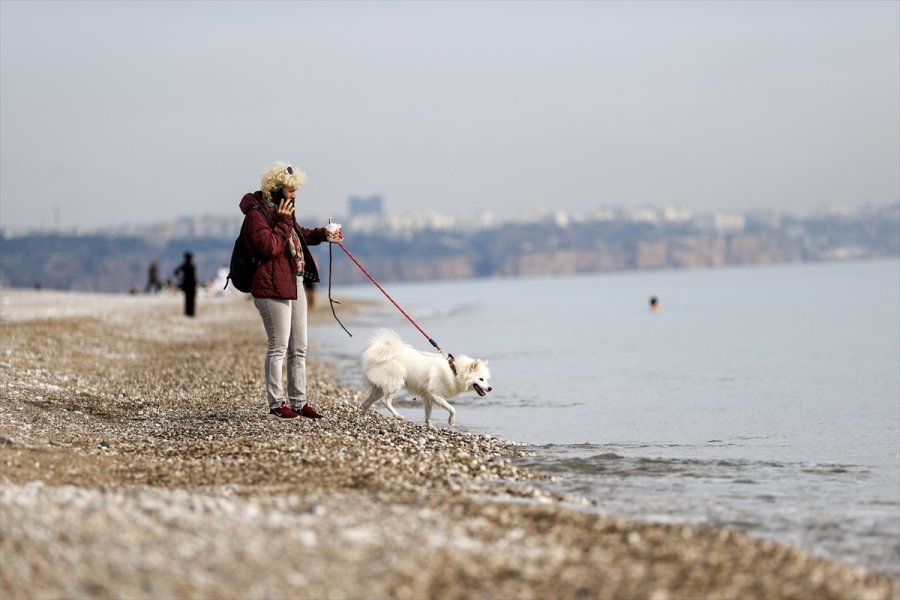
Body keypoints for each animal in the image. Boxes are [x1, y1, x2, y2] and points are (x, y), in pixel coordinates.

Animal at [358, 330, 492, 428]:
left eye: (486, 379)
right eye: (481, 379)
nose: (490, 388)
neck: (454, 370)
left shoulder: (427, 396)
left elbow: (429, 413)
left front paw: (430, 426)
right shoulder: (435, 394)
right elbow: (452, 408)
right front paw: (451, 421)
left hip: (379, 389)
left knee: (365, 404)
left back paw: (363, 420)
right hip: (395, 383)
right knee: (386, 401)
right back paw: (397, 416)